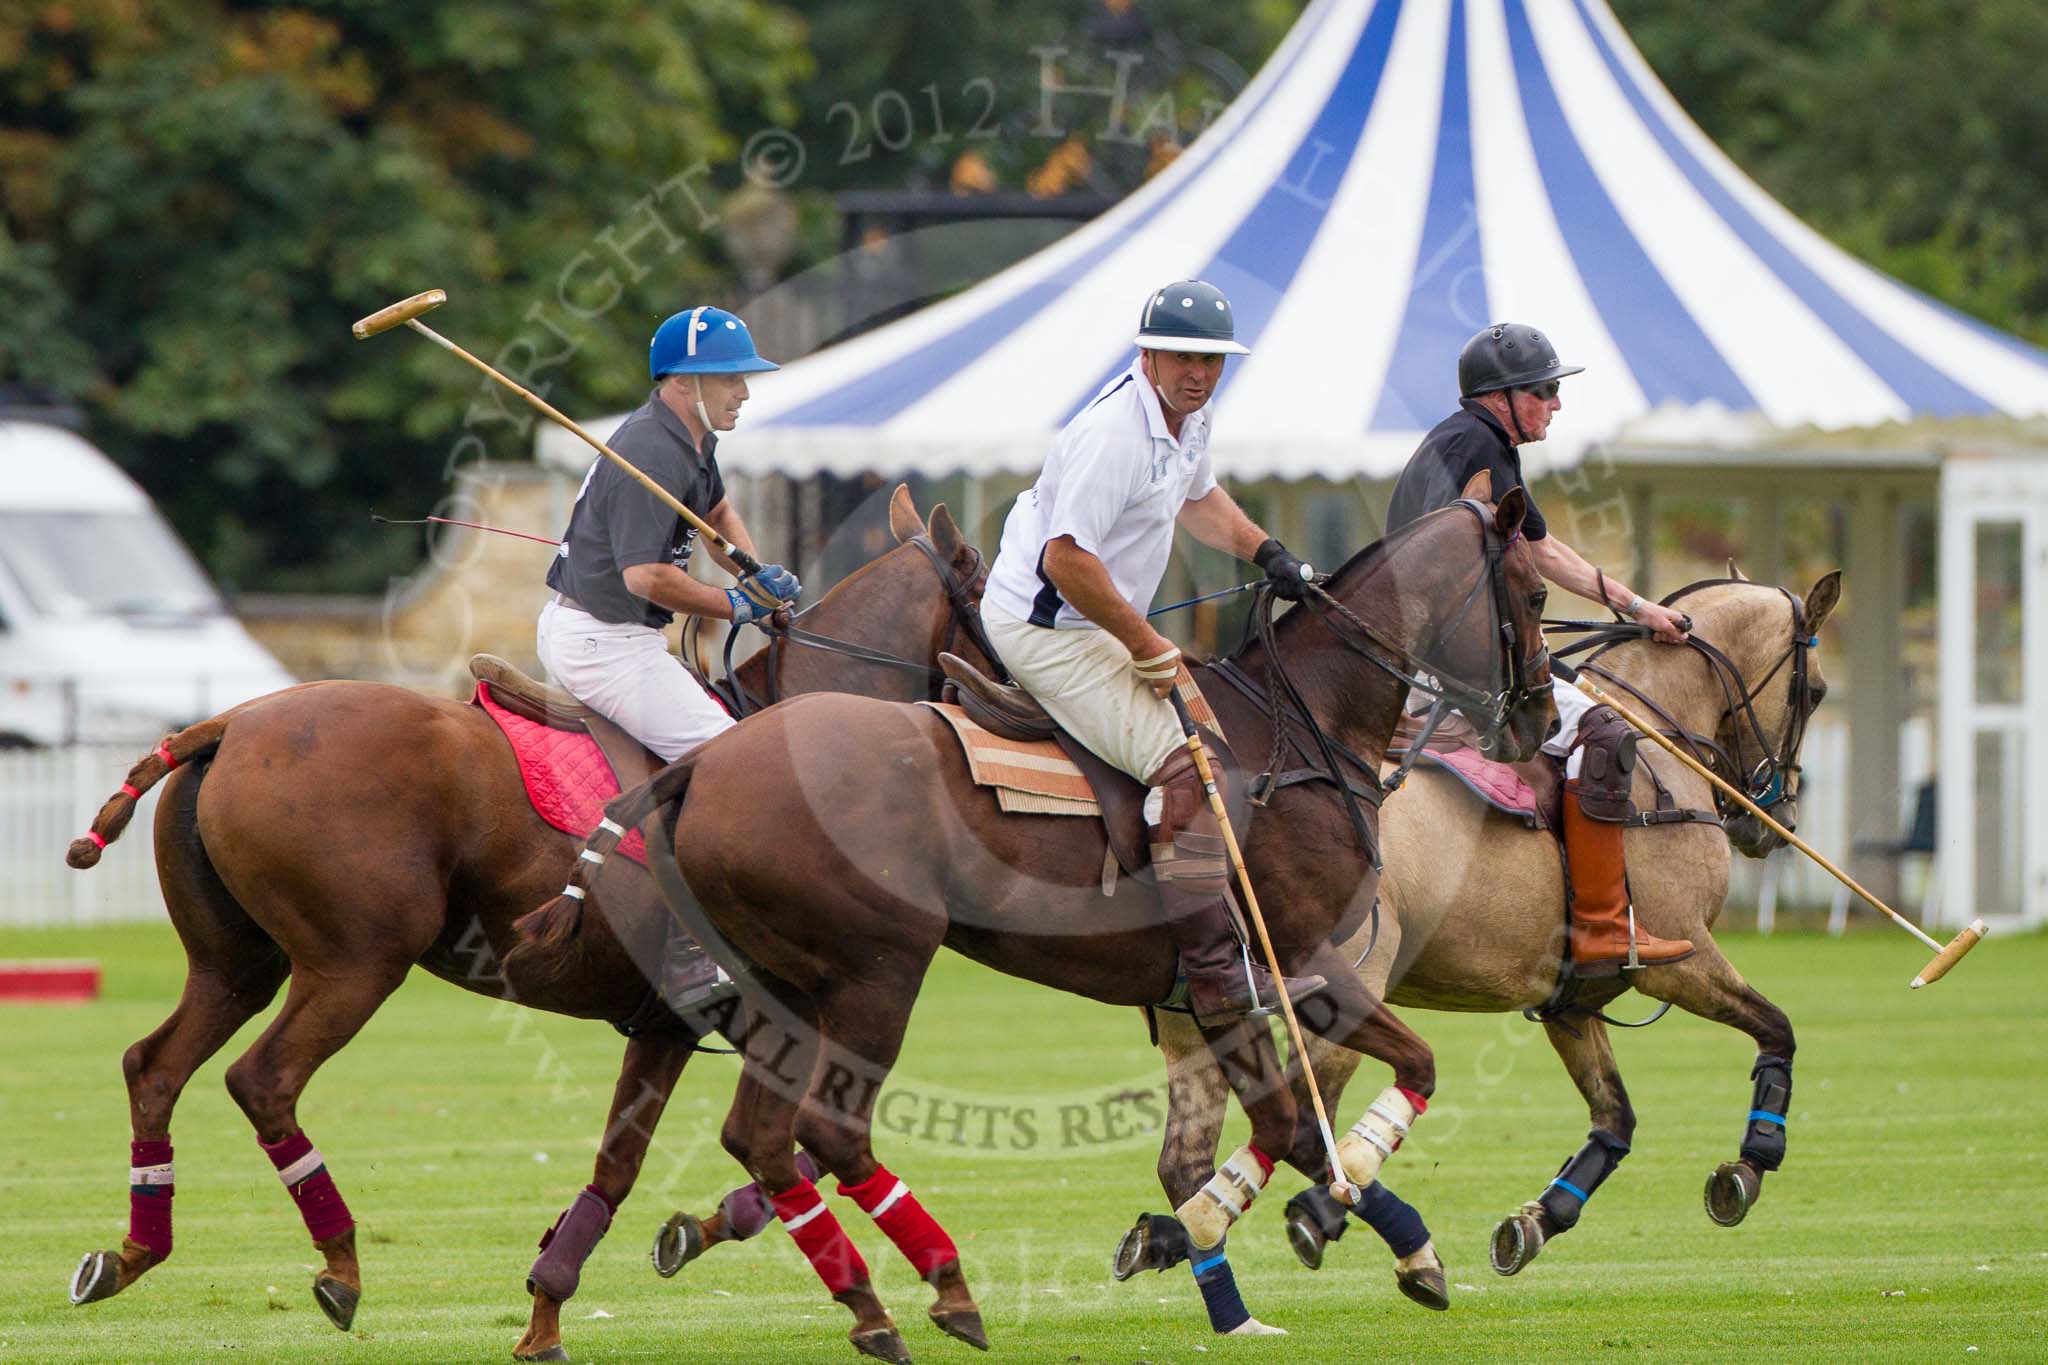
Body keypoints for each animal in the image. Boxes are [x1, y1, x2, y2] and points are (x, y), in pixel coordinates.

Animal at [62, 486, 990, 1363]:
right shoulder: (787, 1002)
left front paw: (575, 1297)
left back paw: (128, 1254)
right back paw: (340, 1264)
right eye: (987, 588)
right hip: (355, 961)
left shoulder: (672, 1020)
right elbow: (792, 1139)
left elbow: (624, 1164)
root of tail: (228, 722)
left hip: (234, 964)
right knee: (263, 1078)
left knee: (154, 1064)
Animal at [520, 491, 1559, 1361]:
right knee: (833, 1130)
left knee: (762, 1136)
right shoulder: (1300, 954)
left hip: (786, 985)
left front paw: (1220, 1246)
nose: (1539, 721)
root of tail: (706, 760)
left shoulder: (1235, 988)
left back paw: (864, 1306)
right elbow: (1378, 1085)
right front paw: (1399, 1243)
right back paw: (944, 1291)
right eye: (1538, 589)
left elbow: (1296, 1119)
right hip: (877, 969)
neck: (1302, 732)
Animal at [1132, 568, 1840, 1327]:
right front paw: (1751, 1162)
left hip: (1199, 1005)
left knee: (1190, 1154)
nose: (1772, 820)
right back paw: (1332, 1219)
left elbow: (1614, 1117)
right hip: (1350, 984)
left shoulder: (1571, 1000)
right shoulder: (1680, 960)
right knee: (1300, 1117)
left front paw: (1536, 1220)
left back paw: (1181, 1240)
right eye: (1816, 692)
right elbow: (1779, 1028)